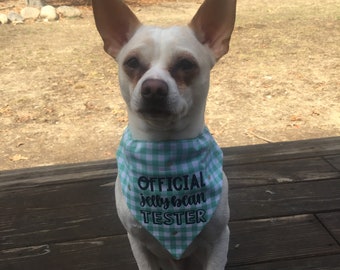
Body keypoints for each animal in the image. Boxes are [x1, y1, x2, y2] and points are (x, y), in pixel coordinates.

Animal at [93, 1, 236, 268]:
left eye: (186, 64)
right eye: (132, 62)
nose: (153, 88)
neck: (164, 156)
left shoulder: (219, 239)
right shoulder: (138, 243)